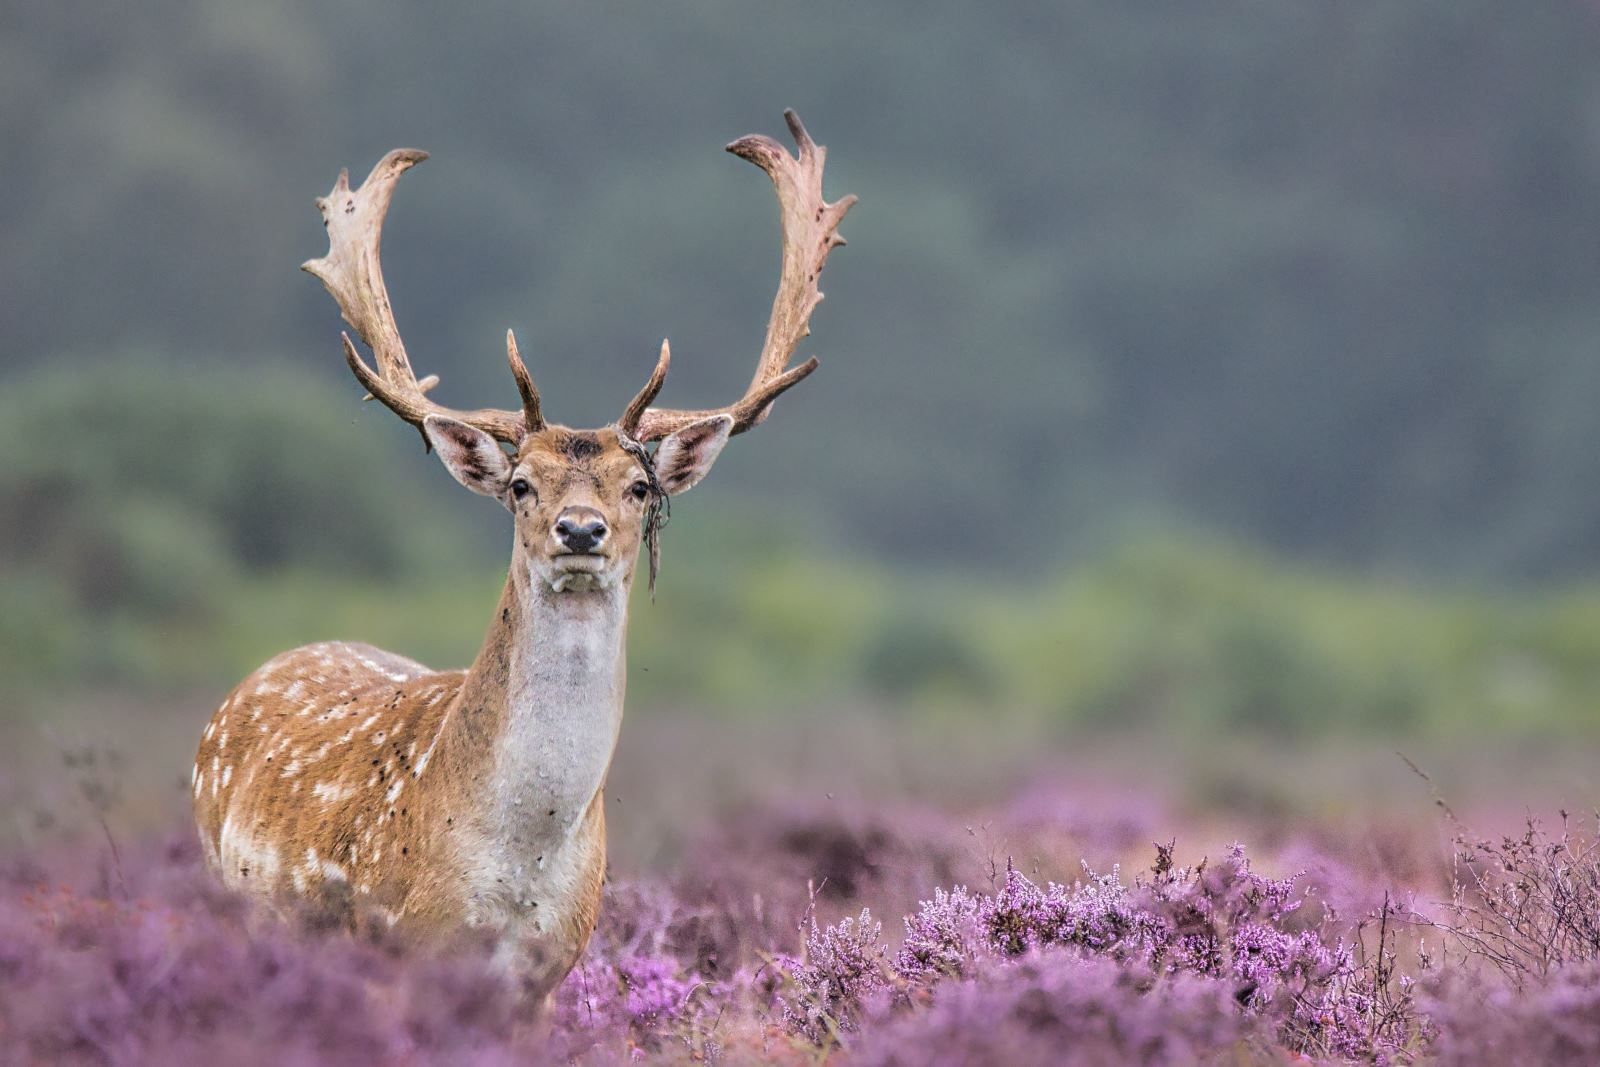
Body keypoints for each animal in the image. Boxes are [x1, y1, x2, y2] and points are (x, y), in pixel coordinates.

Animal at [193, 112, 857, 998]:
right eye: (519, 484)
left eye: (636, 486)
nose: (580, 530)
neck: (519, 861)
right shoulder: (398, 946)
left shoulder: (551, 967)